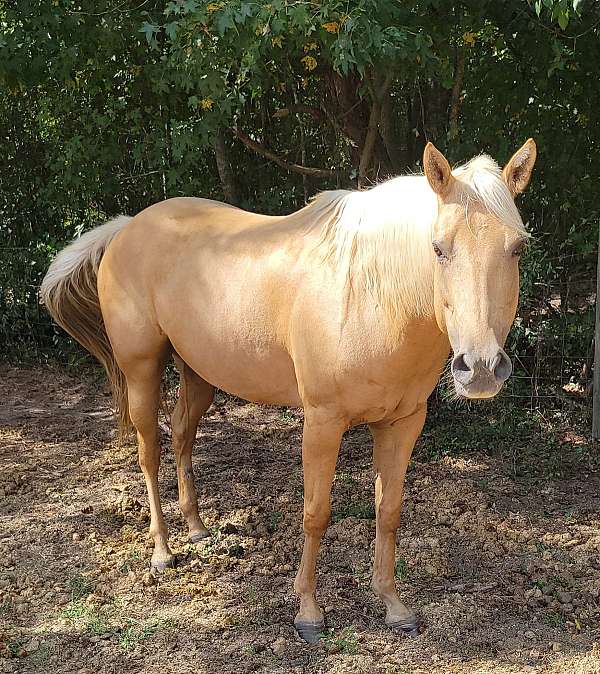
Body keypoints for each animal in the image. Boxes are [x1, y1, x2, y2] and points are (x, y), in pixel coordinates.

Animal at [43, 139, 540, 636]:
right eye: (438, 248)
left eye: (517, 248)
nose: (481, 367)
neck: (371, 296)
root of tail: (128, 227)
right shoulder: (322, 423)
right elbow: (316, 513)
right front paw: (308, 613)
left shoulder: (403, 423)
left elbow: (389, 511)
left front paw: (393, 605)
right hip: (141, 372)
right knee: (149, 452)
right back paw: (163, 551)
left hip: (199, 373)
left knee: (183, 433)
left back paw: (198, 528)